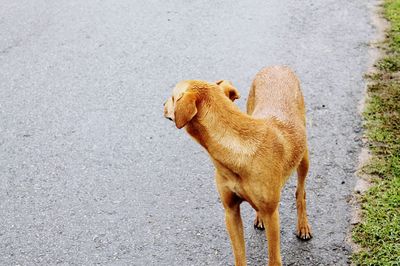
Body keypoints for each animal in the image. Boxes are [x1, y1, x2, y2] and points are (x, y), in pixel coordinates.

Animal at [163, 66, 312, 266]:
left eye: (172, 98)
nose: (163, 105)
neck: (238, 149)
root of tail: (277, 66)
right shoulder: (231, 211)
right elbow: (239, 255)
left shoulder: (272, 215)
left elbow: (273, 258)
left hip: (304, 159)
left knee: (300, 192)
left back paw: (303, 226)